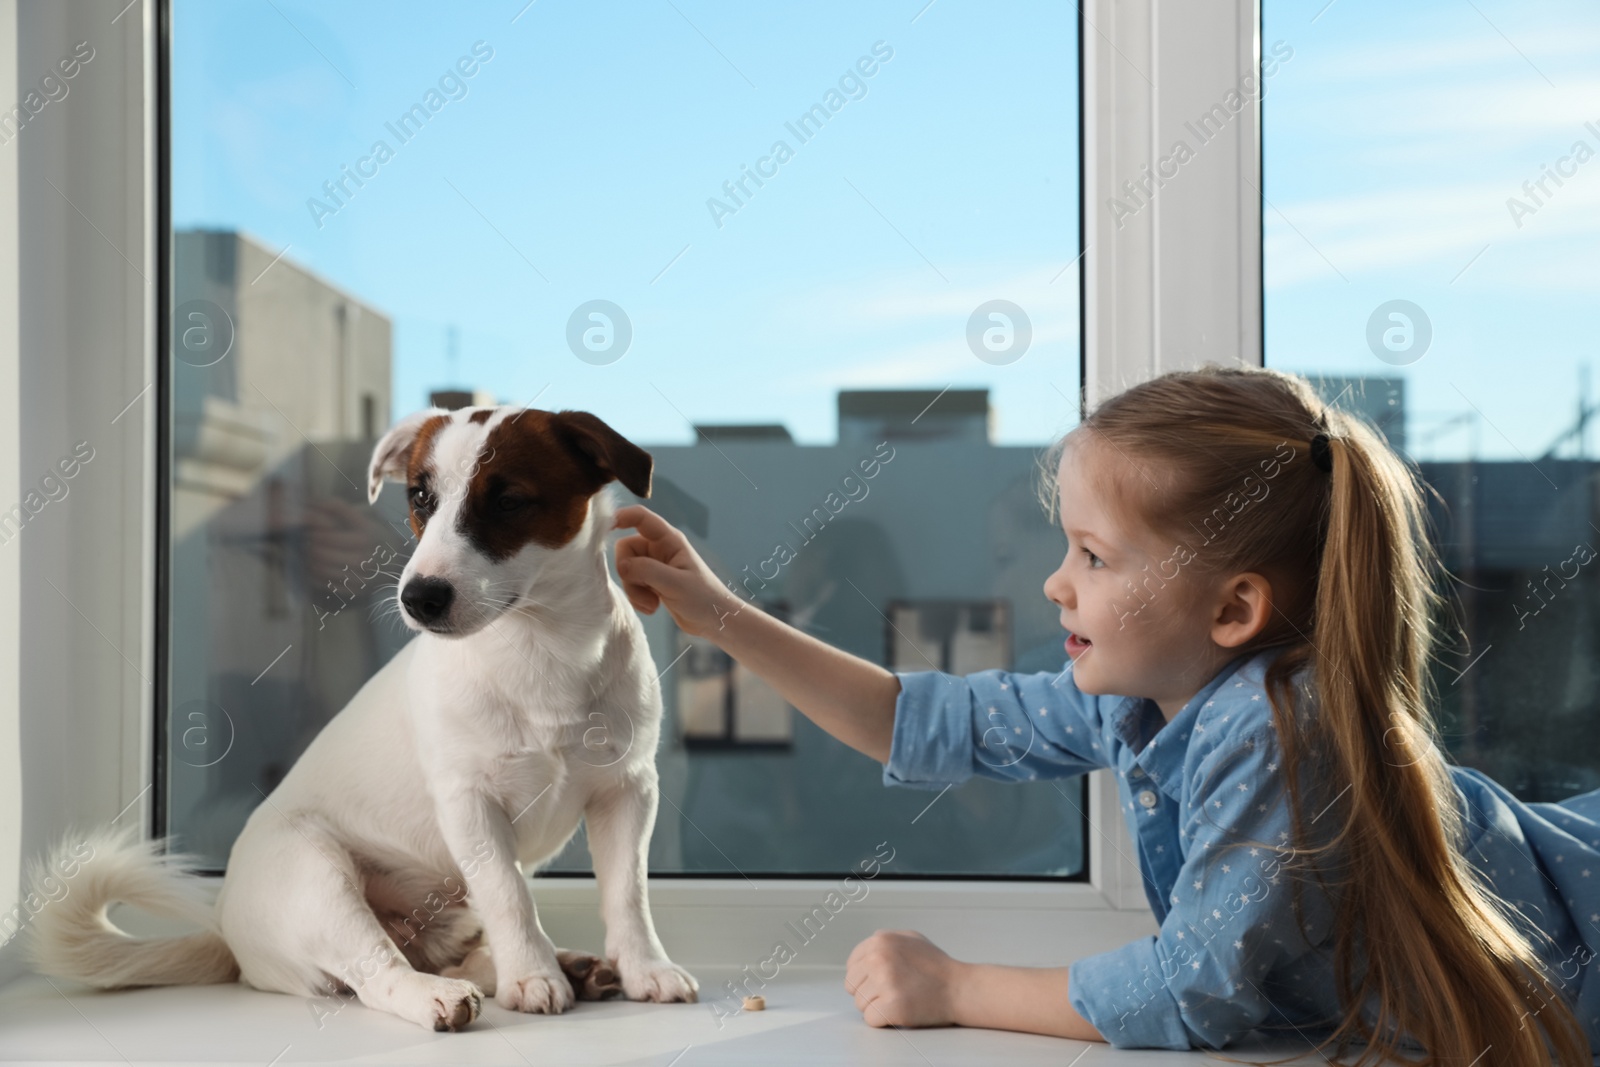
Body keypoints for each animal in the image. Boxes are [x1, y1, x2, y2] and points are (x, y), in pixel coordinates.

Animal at [26, 404, 700, 1030]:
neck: (541, 651)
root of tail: (229, 935)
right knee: (380, 972)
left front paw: (645, 968)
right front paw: (533, 977)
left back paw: (569, 966)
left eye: (510, 500)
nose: (419, 597)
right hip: (318, 879)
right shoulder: (470, 804)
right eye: (421, 499)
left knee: (458, 951)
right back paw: (446, 993)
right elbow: (511, 895)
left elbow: (628, 892)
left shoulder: (627, 791)